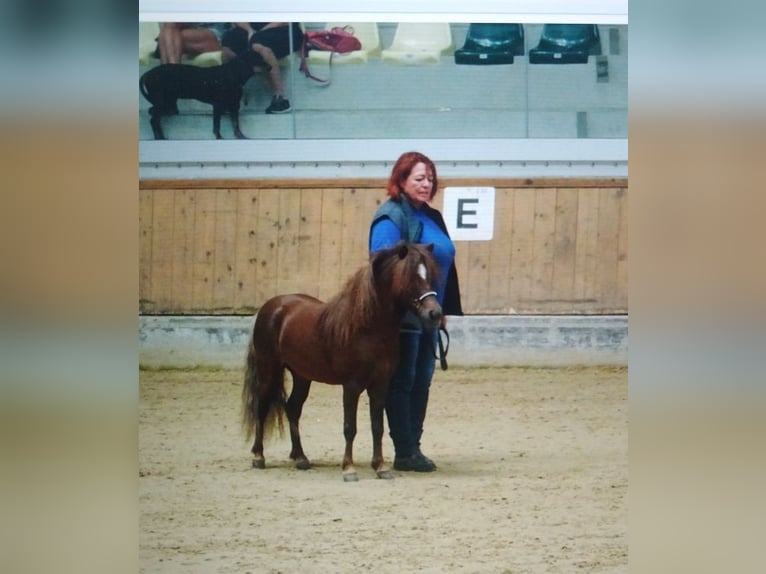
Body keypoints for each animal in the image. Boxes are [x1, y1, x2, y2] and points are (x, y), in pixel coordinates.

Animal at [243, 241, 440, 484]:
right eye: (411, 276)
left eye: (429, 274)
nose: (435, 313)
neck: (366, 328)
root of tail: (272, 306)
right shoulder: (351, 386)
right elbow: (350, 427)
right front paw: (349, 469)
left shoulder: (380, 385)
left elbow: (377, 426)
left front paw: (381, 467)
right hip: (268, 370)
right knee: (260, 407)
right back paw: (258, 457)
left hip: (302, 376)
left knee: (293, 408)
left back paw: (300, 458)